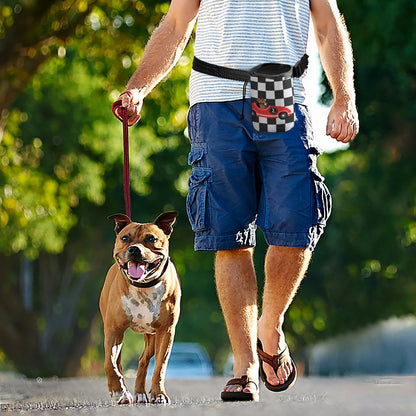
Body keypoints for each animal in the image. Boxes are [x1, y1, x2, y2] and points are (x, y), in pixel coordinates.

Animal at [100, 211, 180, 404]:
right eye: (125, 238)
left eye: (151, 238)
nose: (134, 249)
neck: (143, 286)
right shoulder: (113, 330)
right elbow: (109, 362)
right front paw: (117, 390)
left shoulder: (166, 331)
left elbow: (160, 366)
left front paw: (159, 394)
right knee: (118, 363)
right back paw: (125, 392)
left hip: (152, 336)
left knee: (144, 359)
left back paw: (140, 392)